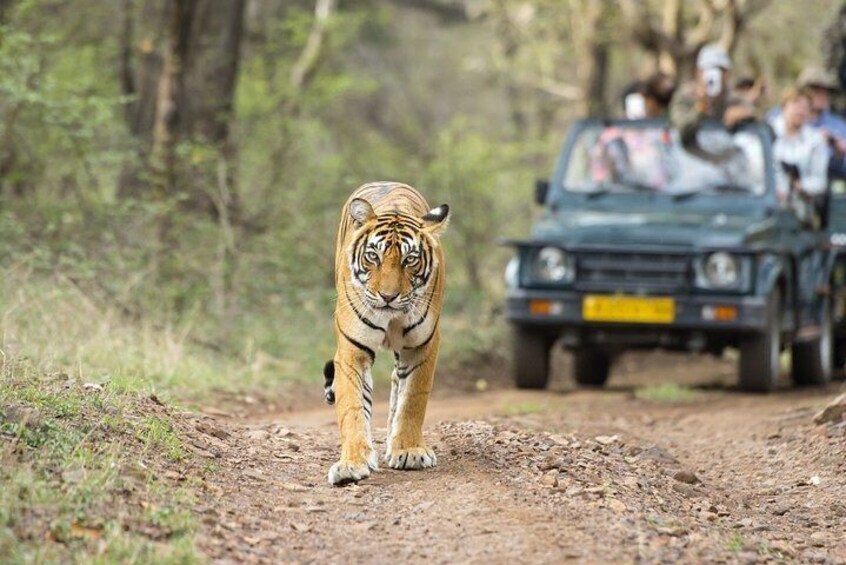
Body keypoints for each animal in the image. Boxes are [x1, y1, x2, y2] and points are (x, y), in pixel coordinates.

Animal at [324, 181, 450, 484]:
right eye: (373, 256)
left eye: (410, 259)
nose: (388, 297)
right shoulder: (352, 350)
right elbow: (353, 406)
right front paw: (352, 464)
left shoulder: (423, 346)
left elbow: (413, 399)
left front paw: (409, 450)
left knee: (397, 384)